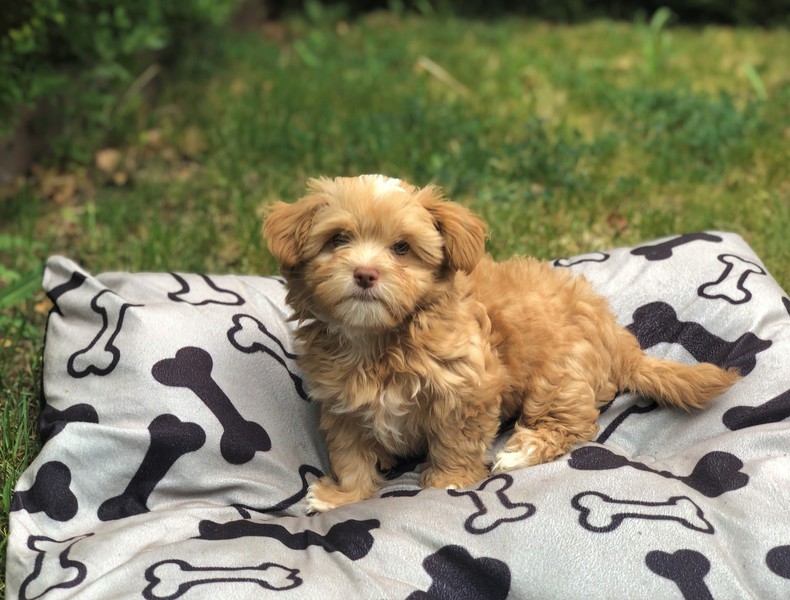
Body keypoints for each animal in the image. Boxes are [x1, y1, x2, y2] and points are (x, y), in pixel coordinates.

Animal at [263, 175, 740, 513]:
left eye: (401, 248)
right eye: (338, 239)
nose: (365, 273)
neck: (380, 339)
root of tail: (618, 337)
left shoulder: (466, 389)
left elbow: (455, 442)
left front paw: (447, 483)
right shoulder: (342, 405)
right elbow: (350, 454)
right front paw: (345, 497)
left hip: (558, 374)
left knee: (574, 425)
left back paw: (518, 454)